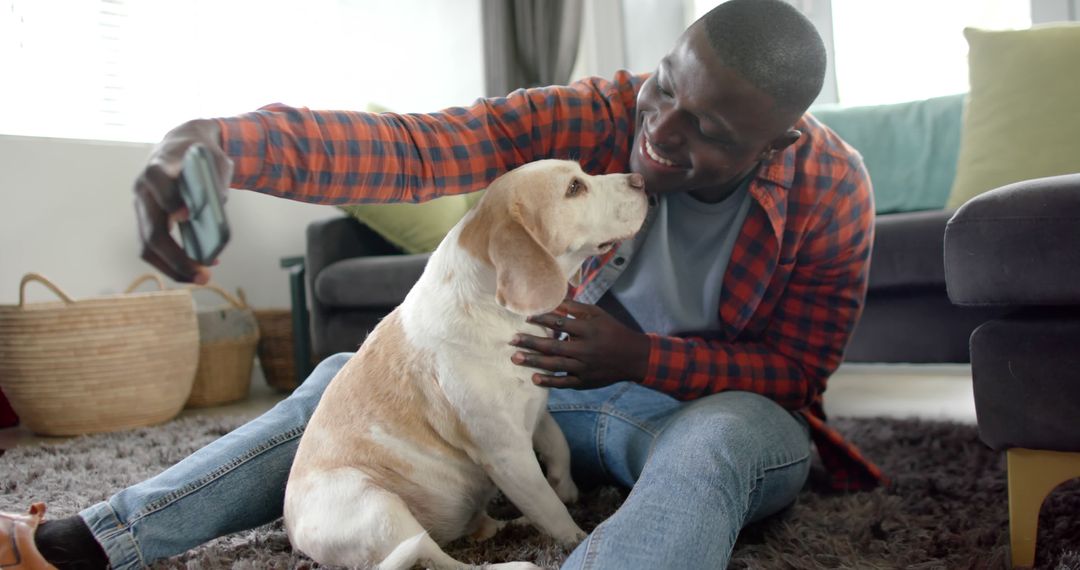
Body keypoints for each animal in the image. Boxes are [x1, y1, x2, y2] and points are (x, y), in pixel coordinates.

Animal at [282, 158, 643, 570]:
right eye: (574, 188)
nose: (641, 179)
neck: (496, 313)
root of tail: (296, 538)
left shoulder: (535, 408)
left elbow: (558, 446)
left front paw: (565, 487)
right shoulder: (507, 454)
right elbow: (550, 509)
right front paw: (576, 536)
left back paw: (510, 525)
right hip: (378, 505)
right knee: (439, 559)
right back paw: (517, 563)